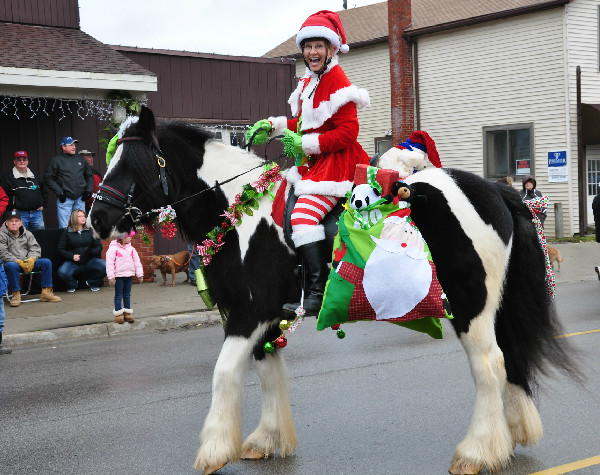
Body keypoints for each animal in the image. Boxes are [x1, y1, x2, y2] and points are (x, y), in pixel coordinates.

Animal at [88, 108, 576, 475]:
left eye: (133, 164)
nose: (97, 219)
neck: (241, 214)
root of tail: (494, 190)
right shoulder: (264, 319)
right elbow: (268, 373)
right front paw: (267, 439)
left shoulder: (247, 316)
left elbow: (224, 374)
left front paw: (213, 450)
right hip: (493, 306)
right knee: (509, 358)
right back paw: (514, 433)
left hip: (472, 307)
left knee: (489, 366)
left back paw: (477, 452)